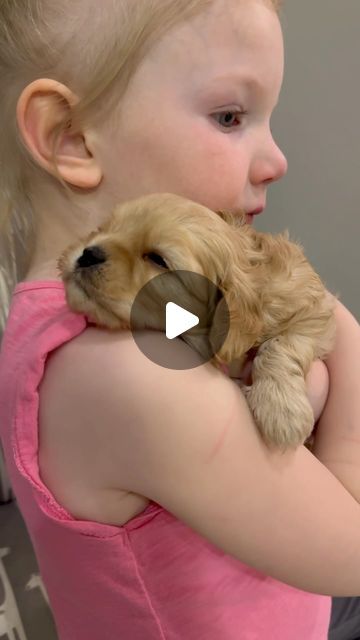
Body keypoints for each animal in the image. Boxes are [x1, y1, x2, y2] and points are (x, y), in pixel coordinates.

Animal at [57, 192, 336, 452]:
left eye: (157, 259)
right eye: (104, 228)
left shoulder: (311, 309)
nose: (88, 254)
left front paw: (281, 410)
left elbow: (282, 345)